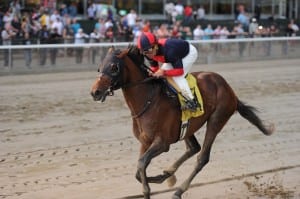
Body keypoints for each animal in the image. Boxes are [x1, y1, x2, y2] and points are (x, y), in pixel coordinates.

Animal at [89, 45, 274, 198]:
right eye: (100, 66)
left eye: (114, 67)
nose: (95, 92)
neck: (148, 100)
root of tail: (230, 90)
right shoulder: (145, 141)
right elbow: (138, 169)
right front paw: (161, 177)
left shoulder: (162, 143)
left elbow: (141, 164)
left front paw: (150, 189)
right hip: (187, 126)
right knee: (194, 148)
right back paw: (168, 174)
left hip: (217, 119)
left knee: (202, 157)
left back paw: (178, 191)